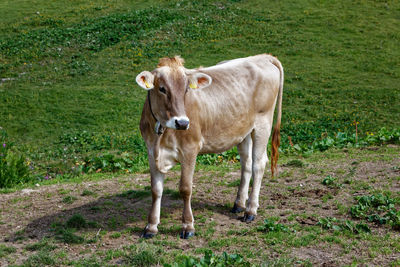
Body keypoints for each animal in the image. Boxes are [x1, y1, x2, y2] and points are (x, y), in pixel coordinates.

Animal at [136, 53, 282, 240]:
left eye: (186, 89)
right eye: (162, 88)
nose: (182, 123)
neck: (161, 134)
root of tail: (262, 57)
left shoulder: (190, 149)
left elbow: (185, 188)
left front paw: (188, 226)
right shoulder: (151, 151)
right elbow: (155, 190)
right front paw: (151, 226)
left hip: (263, 123)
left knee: (259, 164)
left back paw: (250, 210)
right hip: (243, 130)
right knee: (247, 164)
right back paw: (239, 204)